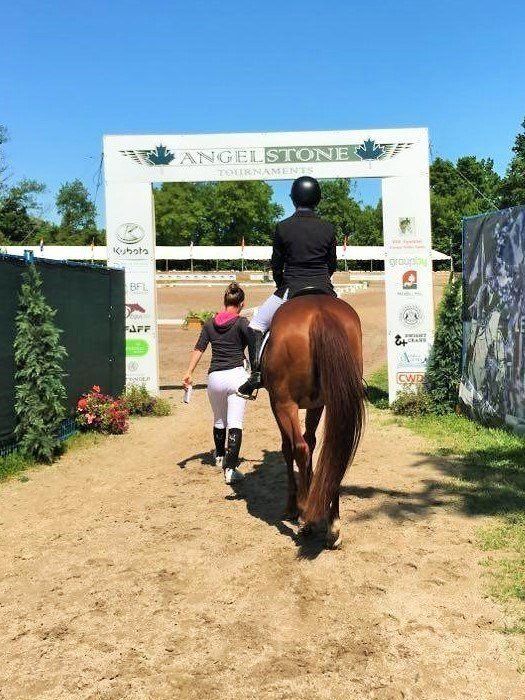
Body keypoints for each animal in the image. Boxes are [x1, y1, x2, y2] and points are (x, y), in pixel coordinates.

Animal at [262, 292, 364, 548]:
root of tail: (321, 313)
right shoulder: (317, 404)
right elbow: (312, 440)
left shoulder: (276, 403)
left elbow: (289, 448)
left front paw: (292, 507)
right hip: (335, 401)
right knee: (335, 450)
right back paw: (333, 527)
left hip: (284, 404)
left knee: (299, 447)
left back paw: (306, 516)